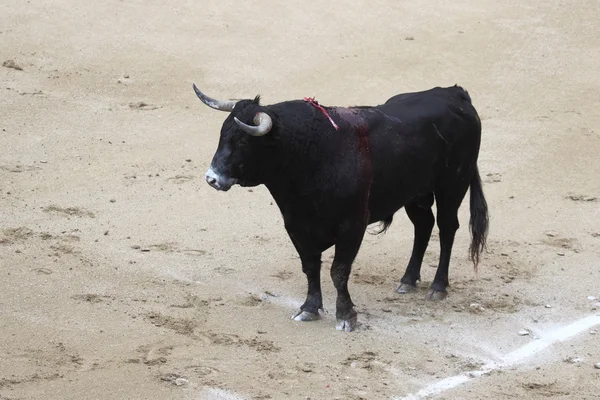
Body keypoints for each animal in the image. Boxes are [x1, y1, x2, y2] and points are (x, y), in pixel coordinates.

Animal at [195, 84, 490, 332]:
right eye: (222, 135)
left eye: (243, 142)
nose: (212, 178)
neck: (310, 156)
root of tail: (455, 93)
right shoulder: (296, 225)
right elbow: (310, 267)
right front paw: (309, 308)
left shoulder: (352, 226)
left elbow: (338, 271)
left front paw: (346, 316)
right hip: (416, 193)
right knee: (423, 225)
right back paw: (407, 280)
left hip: (452, 186)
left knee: (447, 228)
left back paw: (438, 287)